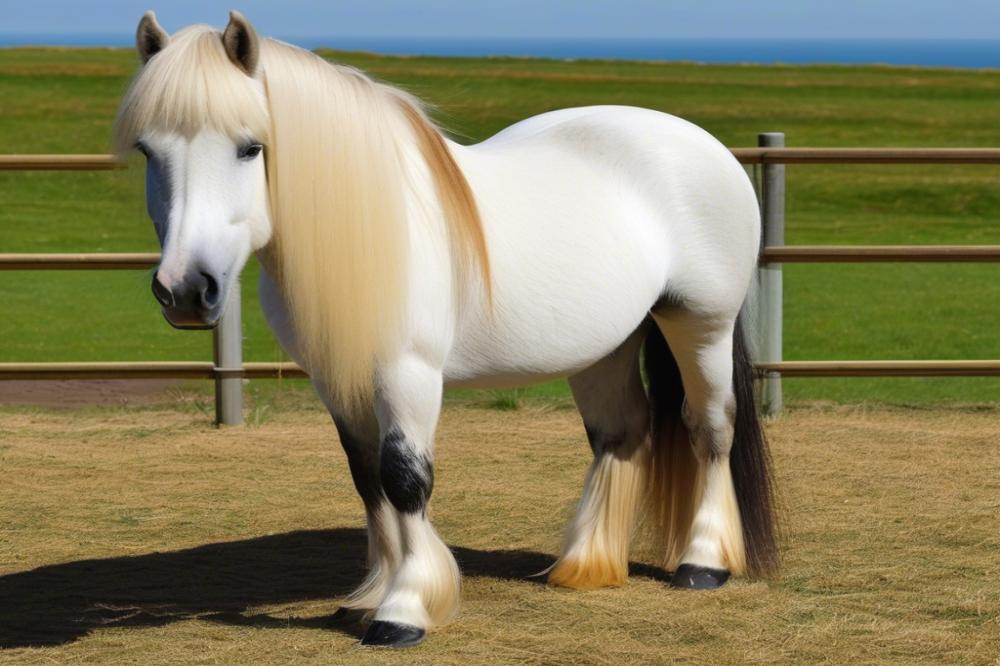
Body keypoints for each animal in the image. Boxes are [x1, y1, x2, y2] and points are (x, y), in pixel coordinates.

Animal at [111, 9, 780, 644]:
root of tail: (705, 145)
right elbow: (368, 479)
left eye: (250, 147)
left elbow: (405, 478)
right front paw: (371, 596)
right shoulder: (338, 380)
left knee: (710, 427)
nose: (185, 291)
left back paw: (702, 563)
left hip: (701, 324)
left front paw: (404, 609)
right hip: (605, 347)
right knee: (621, 433)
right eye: (148, 150)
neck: (373, 223)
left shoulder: (407, 374)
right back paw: (585, 565)